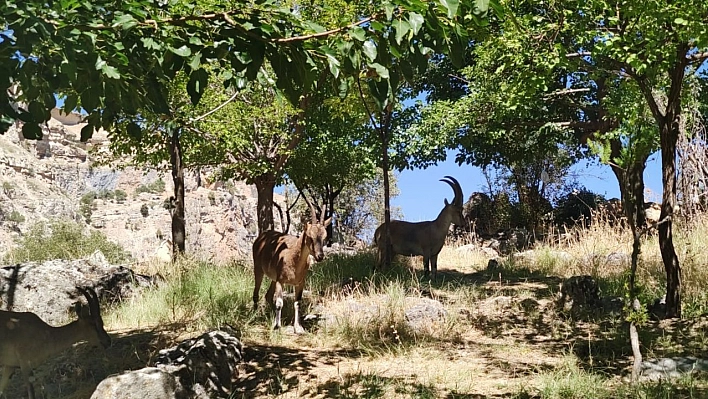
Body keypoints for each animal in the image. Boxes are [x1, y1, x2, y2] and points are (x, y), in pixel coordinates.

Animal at [254, 202, 332, 332]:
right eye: (309, 236)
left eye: (324, 237)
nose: (320, 256)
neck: (293, 260)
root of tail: (260, 237)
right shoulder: (281, 280)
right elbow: (279, 303)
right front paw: (277, 326)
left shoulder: (300, 282)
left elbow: (297, 303)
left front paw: (298, 327)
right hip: (258, 268)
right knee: (256, 292)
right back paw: (255, 315)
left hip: (273, 278)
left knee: (268, 295)